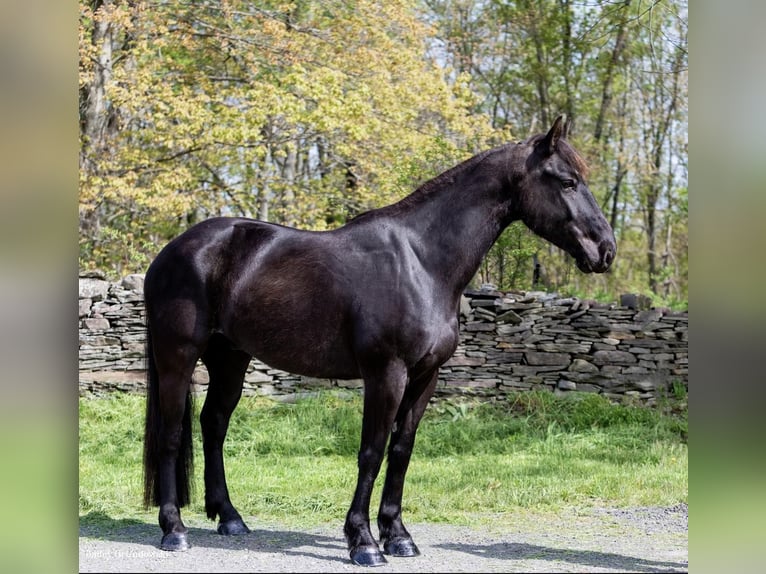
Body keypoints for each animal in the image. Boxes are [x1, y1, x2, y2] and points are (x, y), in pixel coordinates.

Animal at [140, 116, 616, 568]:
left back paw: (230, 517)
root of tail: (172, 252)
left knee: (214, 425)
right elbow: (371, 451)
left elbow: (401, 450)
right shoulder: (386, 373)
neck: (422, 262)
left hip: (230, 358)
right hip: (178, 357)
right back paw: (174, 530)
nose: (605, 249)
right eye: (567, 181)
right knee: (172, 432)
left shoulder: (426, 376)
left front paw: (398, 535)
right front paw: (364, 542)